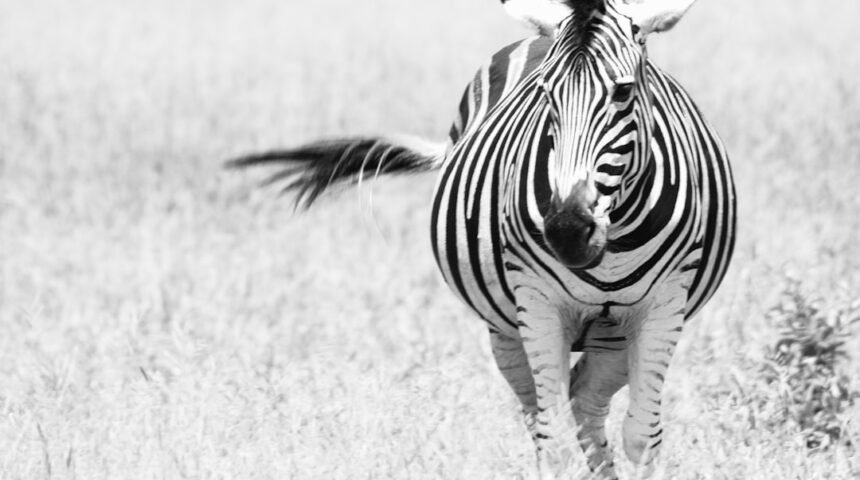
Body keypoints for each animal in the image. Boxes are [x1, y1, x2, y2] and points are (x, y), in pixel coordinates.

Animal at [228, 0, 736, 477]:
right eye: (545, 93)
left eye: (624, 92)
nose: (566, 232)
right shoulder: (538, 301)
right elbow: (554, 441)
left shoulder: (664, 304)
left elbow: (642, 438)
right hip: (508, 329)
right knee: (546, 416)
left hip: (612, 333)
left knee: (585, 403)